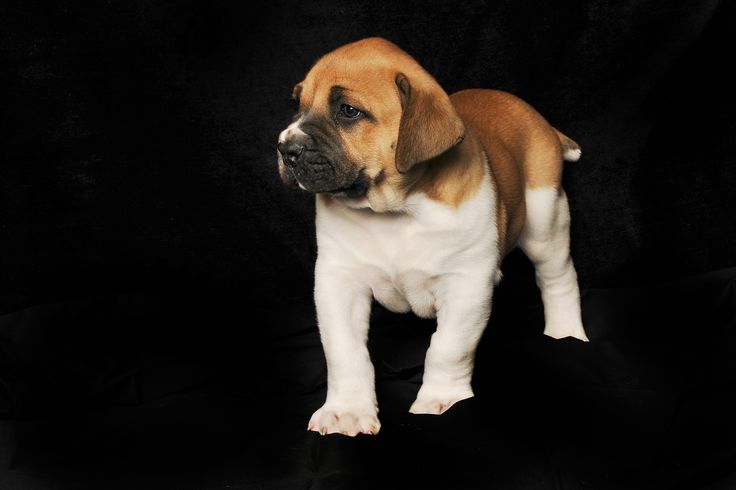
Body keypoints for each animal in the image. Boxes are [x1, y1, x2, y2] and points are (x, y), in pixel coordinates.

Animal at [278, 38, 588, 436]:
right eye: (298, 105)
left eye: (348, 111)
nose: (286, 149)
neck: (396, 209)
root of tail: (536, 117)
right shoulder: (339, 281)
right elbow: (345, 351)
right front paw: (346, 410)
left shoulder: (466, 286)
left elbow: (448, 347)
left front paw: (442, 400)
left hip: (545, 220)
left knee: (558, 277)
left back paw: (566, 333)